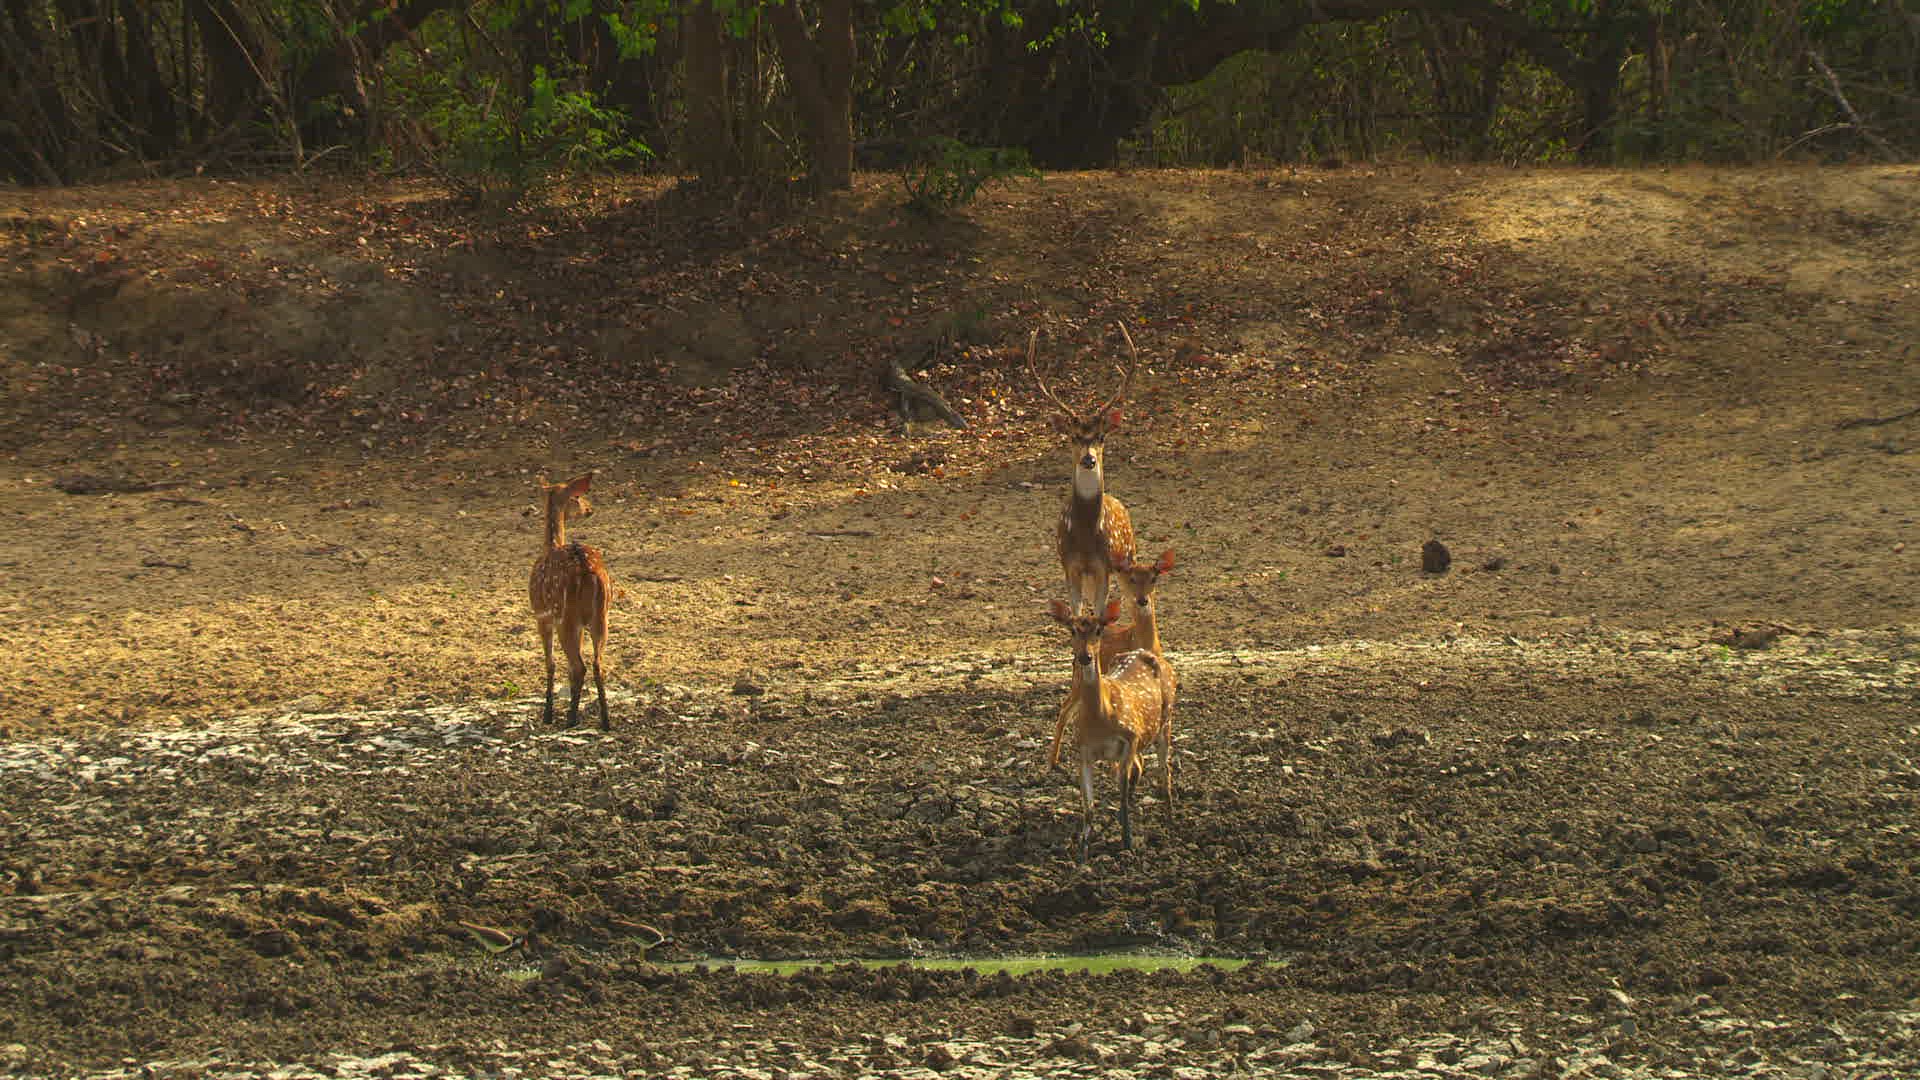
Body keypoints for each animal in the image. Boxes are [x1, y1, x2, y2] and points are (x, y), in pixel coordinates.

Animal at [529, 473, 612, 731]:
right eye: (577, 497)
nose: (589, 509)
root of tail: (588, 572)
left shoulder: (541, 616)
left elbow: (551, 663)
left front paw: (547, 714)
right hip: (600, 617)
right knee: (597, 664)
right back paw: (605, 721)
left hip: (566, 617)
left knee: (579, 665)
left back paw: (571, 719)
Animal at [1029, 323, 1139, 620]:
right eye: (1073, 436)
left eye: (1101, 436)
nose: (1089, 459)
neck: (1088, 537)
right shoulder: (1070, 565)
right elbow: (1077, 616)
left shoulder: (1104, 566)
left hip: (1129, 556)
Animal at [1047, 597, 1176, 863]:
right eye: (1072, 630)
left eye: (1098, 630)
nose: (1085, 657)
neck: (1101, 718)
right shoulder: (1084, 752)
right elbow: (1088, 807)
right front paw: (1082, 854)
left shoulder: (1129, 738)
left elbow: (1123, 797)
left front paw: (1128, 846)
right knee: (1142, 766)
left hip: (1166, 720)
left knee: (1163, 769)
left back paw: (1169, 818)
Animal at [1051, 547, 1178, 772]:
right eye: (1132, 578)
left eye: (1153, 578)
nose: (1142, 600)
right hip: (1077, 678)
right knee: (1065, 709)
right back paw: (1053, 762)